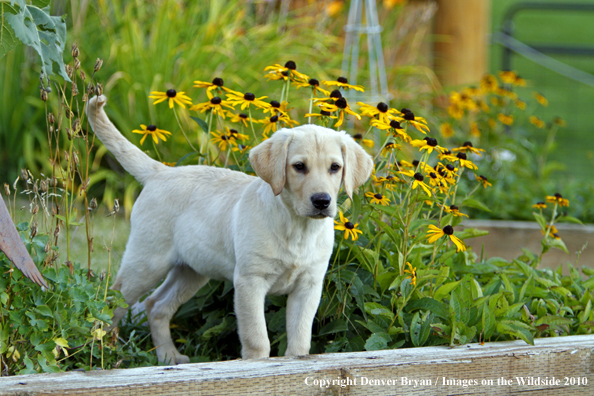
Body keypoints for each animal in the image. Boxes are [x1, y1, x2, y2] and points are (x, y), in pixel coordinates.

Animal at [85, 94, 372, 364]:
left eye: (335, 167)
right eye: (299, 167)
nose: (322, 201)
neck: (297, 227)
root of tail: (160, 172)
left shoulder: (309, 284)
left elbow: (300, 337)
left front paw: (296, 360)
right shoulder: (249, 281)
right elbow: (257, 337)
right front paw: (256, 365)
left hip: (192, 270)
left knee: (155, 305)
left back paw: (168, 357)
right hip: (146, 263)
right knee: (112, 303)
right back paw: (102, 352)